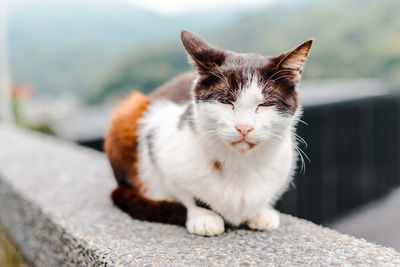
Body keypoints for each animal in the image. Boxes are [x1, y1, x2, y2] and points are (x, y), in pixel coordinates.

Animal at [106, 30, 312, 238]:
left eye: (264, 105)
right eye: (226, 101)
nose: (244, 127)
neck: (239, 164)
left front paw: (261, 211)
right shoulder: (159, 133)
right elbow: (183, 191)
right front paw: (203, 216)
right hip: (129, 110)